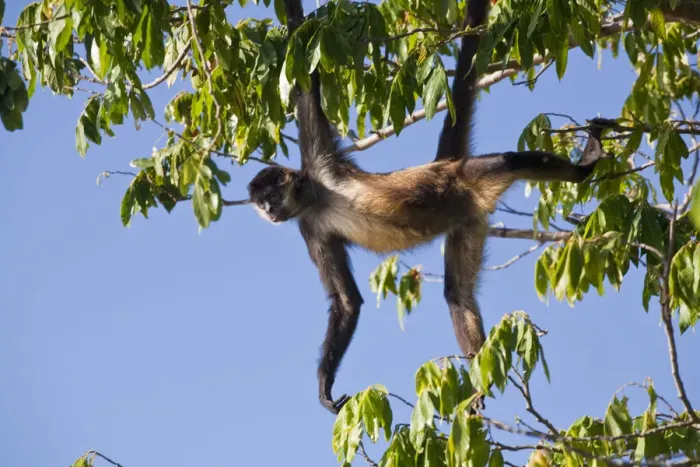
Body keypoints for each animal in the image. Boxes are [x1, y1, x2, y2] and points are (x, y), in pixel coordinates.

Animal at [247, 0, 613, 413]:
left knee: (509, 160)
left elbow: (305, 84)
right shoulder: (310, 229)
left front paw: (295, 22)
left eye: (271, 197)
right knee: (457, 294)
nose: (270, 212)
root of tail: (444, 167)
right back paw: (479, 380)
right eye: (261, 203)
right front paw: (325, 388)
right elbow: (346, 301)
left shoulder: (319, 158)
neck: (317, 197)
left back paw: (584, 168)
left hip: (468, 180)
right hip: (469, 221)